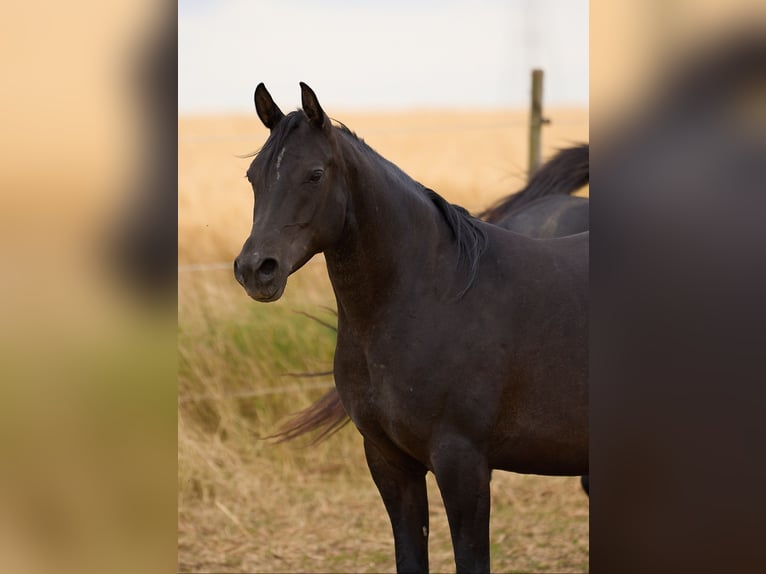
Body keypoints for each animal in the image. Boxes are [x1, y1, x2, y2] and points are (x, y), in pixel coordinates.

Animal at [234, 83, 588, 572]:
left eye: (315, 174)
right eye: (253, 177)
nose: (255, 269)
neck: (431, 297)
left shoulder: (463, 464)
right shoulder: (389, 462)